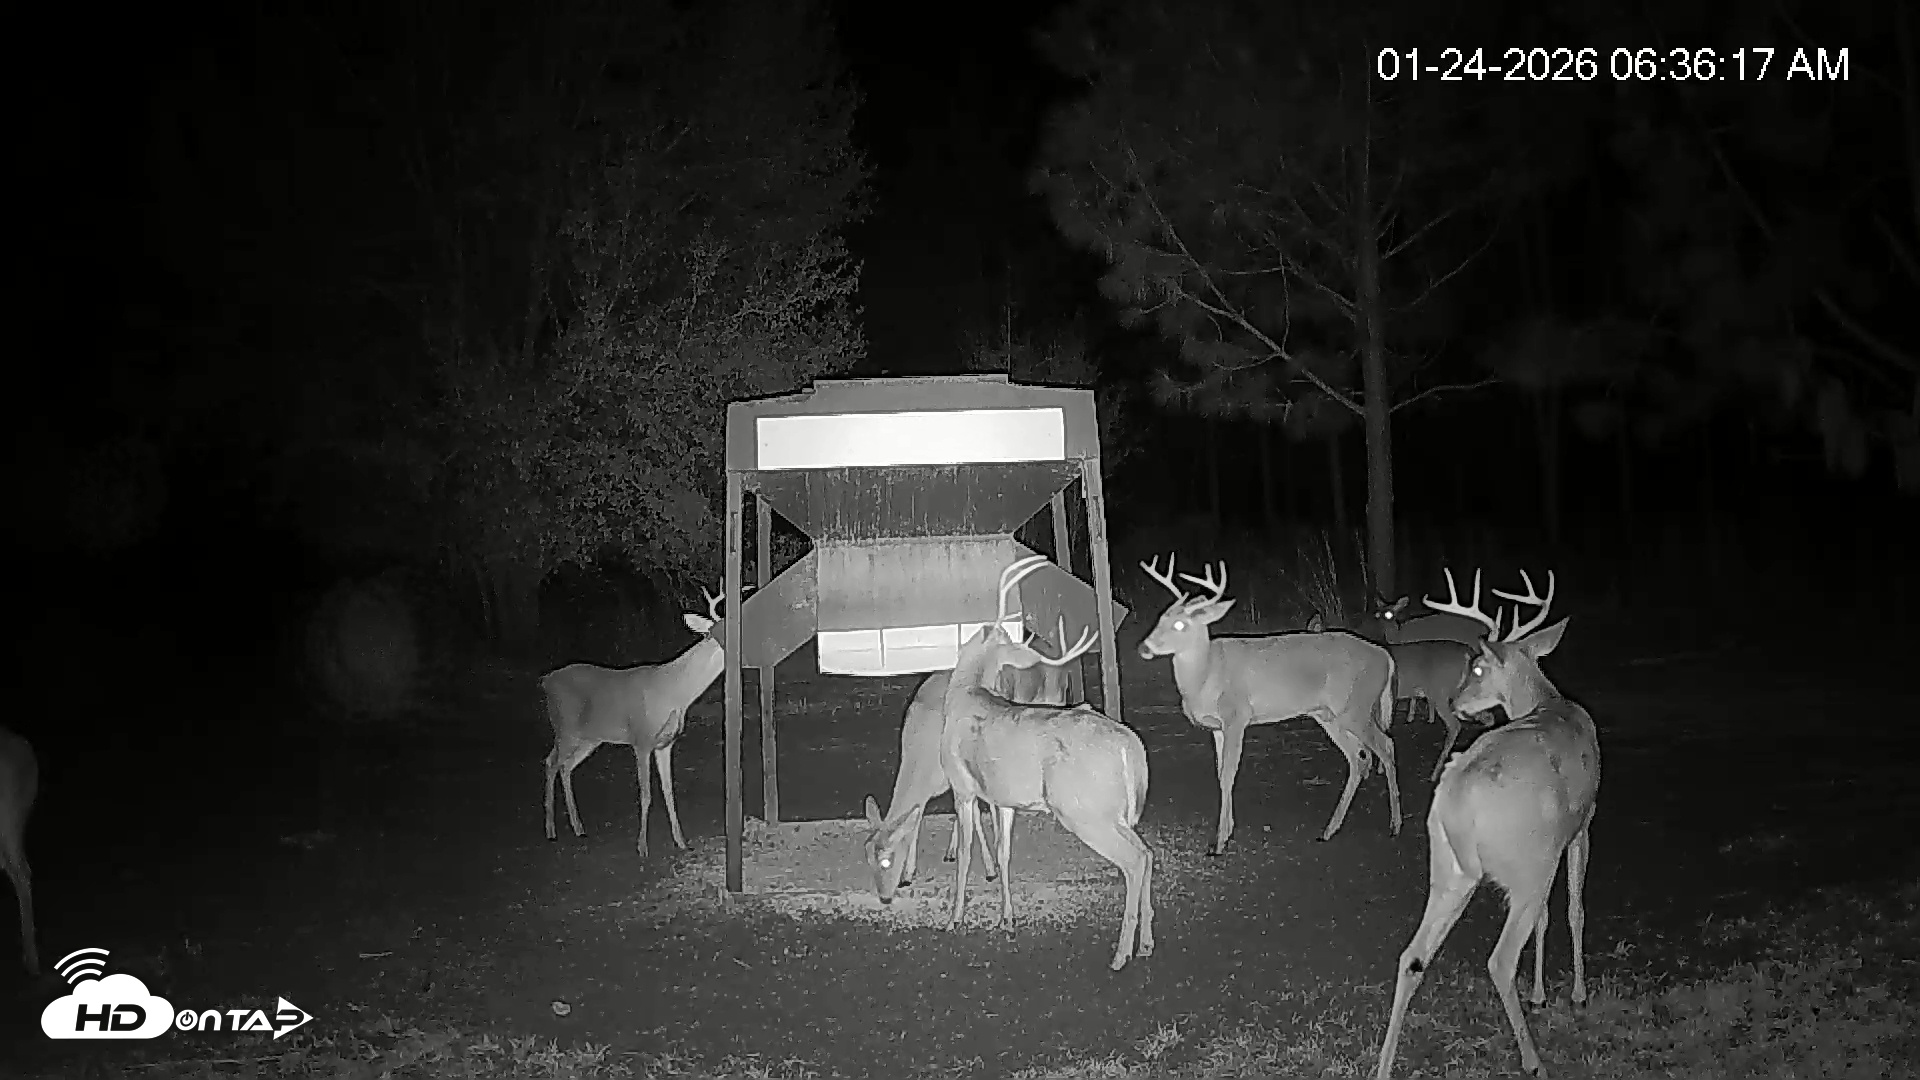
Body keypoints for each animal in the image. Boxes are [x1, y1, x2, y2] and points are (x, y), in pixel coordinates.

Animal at [541, 586, 733, 857]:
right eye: (712, 633)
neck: (675, 693)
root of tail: (546, 680)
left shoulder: (666, 744)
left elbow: (668, 790)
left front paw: (681, 841)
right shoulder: (641, 739)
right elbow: (646, 793)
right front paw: (642, 846)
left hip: (590, 738)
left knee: (566, 766)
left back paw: (578, 827)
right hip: (565, 728)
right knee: (551, 763)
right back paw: (551, 829)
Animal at [861, 627, 1079, 902]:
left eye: (887, 861)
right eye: (868, 856)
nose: (884, 897)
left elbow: (974, 814)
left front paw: (989, 868)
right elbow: (921, 815)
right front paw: (909, 874)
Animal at [1139, 554, 1400, 854]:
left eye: (1181, 625)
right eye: (1161, 618)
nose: (1144, 647)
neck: (1206, 674)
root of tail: (1386, 657)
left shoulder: (1237, 715)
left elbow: (1228, 773)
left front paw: (1218, 842)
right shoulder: (1217, 728)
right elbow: (1220, 773)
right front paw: (1226, 832)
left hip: (1356, 707)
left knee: (1385, 745)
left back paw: (1394, 825)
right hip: (1328, 715)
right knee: (1359, 757)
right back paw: (1329, 830)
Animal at [1374, 568, 1600, 1080]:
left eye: (1477, 669)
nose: (1456, 700)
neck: (1549, 702)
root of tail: (1456, 800)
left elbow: (1549, 917)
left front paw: (1540, 994)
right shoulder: (1582, 824)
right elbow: (1572, 909)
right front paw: (1575, 993)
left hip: (1449, 869)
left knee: (1411, 956)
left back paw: (1383, 1065)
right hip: (1525, 866)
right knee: (1499, 960)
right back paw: (1533, 1061)